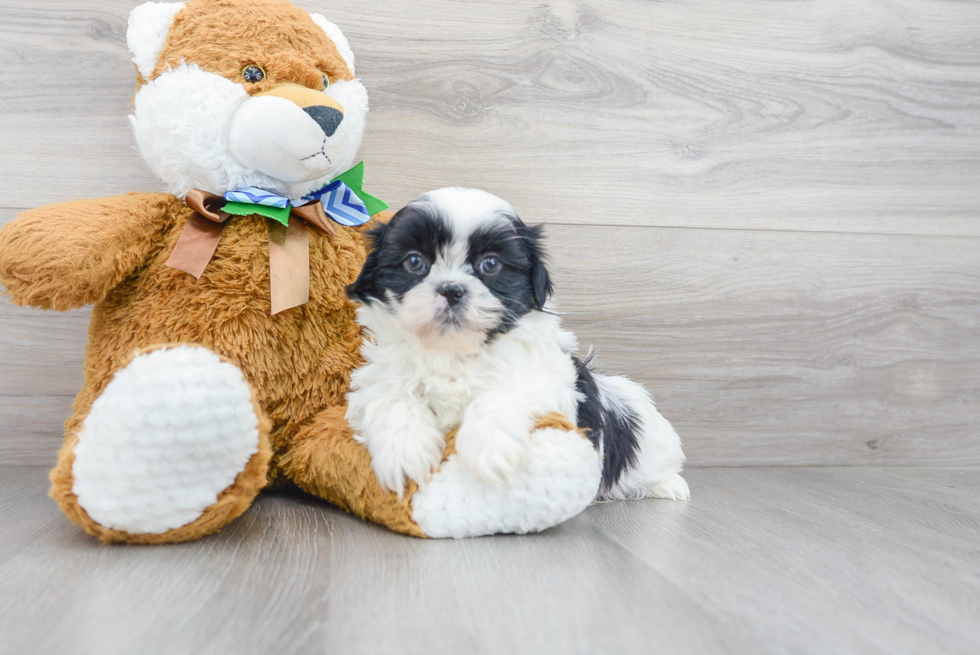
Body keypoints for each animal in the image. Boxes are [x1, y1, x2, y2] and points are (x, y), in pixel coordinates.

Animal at [344, 187, 688, 500]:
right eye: (414, 262)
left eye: (491, 265)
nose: (452, 289)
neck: (454, 352)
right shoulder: (380, 379)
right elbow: (393, 401)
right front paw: (403, 453)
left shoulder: (550, 380)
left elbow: (502, 392)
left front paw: (489, 448)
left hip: (655, 447)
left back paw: (668, 486)